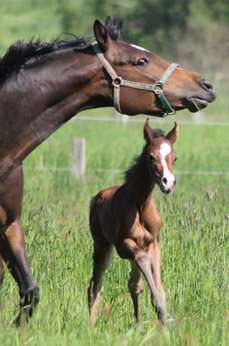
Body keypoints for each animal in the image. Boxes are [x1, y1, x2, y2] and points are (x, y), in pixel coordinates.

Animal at [88, 119, 179, 328]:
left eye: (175, 158)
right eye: (151, 157)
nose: (168, 183)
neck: (141, 205)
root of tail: (97, 198)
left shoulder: (153, 243)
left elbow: (152, 284)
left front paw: (165, 315)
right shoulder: (123, 244)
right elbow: (144, 260)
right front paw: (165, 315)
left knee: (134, 284)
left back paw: (138, 325)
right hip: (102, 247)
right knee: (95, 286)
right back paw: (89, 326)